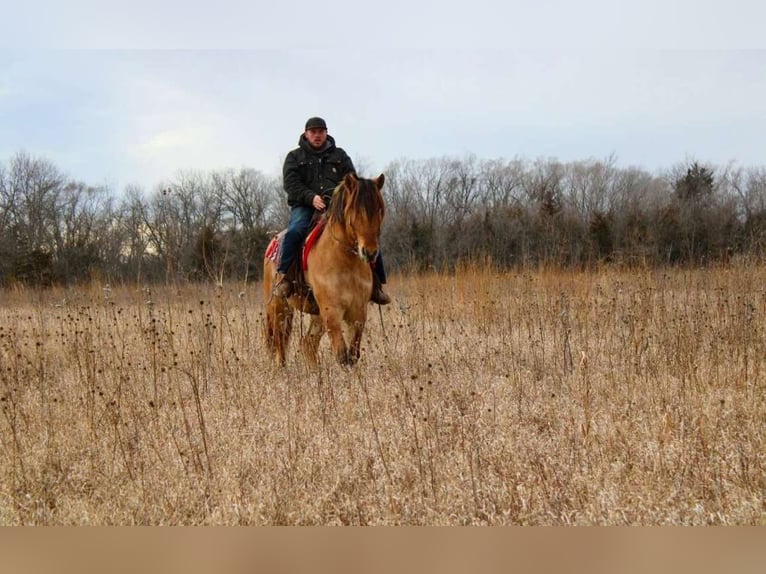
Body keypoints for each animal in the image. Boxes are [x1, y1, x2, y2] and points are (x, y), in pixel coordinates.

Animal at [264, 173, 388, 366]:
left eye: (379, 210)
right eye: (354, 211)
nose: (370, 252)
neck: (346, 262)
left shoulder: (358, 312)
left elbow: (353, 354)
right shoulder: (332, 312)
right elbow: (342, 355)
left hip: (316, 314)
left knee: (307, 343)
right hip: (278, 308)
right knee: (279, 345)